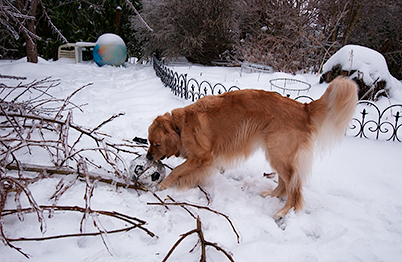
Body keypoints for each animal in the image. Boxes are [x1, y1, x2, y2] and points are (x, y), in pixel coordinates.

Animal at [147, 77, 358, 222]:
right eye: (148, 141)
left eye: (156, 144)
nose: (148, 157)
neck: (180, 126)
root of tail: (303, 108)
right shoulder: (203, 161)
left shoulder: (201, 157)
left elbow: (177, 170)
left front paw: (164, 184)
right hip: (276, 153)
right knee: (284, 183)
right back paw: (271, 195)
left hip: (279, 153)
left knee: (295, 189)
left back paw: (283, 212)